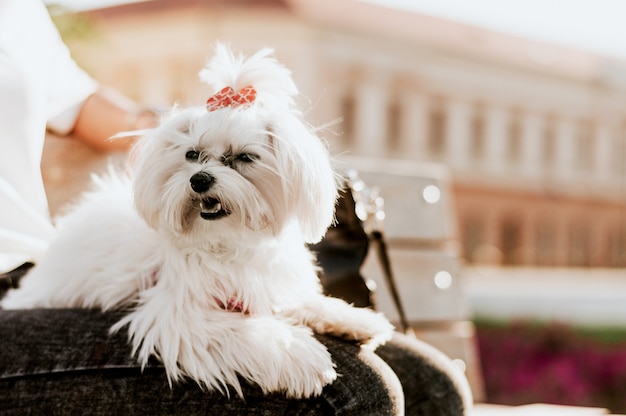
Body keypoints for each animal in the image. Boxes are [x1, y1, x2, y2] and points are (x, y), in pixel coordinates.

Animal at [1, 44, 390, 398]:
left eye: (244, 157)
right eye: (192, 154)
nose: (199, 179)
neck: (226, 243)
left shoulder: (266, 282)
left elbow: (301, 299)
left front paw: (353, 319)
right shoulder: (177, 313)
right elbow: (246, 331)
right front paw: (302, 357)